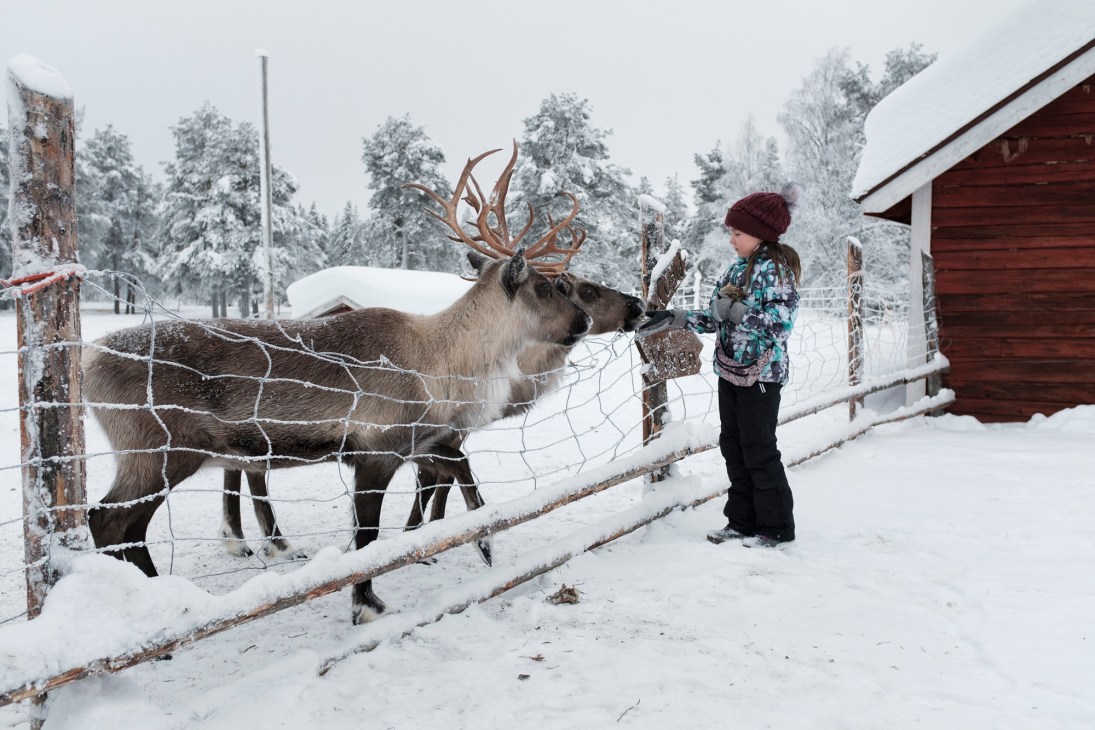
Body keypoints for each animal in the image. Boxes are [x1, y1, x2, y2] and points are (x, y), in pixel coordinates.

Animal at [83, 148, 592, 624]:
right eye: (546, 287)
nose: (585, 320)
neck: (444, 362)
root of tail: (88, 361)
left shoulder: (417, 442)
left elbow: (460, 468)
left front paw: (484, 543)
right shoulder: (375, 453)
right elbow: (367, 537)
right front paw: (366, 604)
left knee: (126, 527)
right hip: (161, 452)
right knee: (106, 517)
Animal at [215, 144, 645, 566]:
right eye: (568, 287)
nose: (637, 305)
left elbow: (444, 478)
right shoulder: (427, 436)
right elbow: (435, 483)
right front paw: (426, 539)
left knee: (239, 468)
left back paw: (243, 538)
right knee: (250, 472)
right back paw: (266, 542)